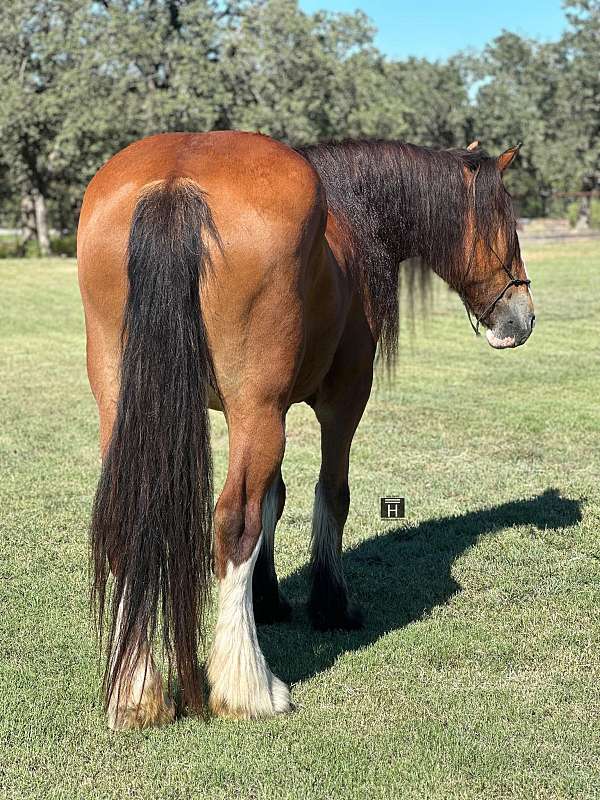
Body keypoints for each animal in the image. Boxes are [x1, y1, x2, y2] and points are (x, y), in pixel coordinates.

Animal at [78, 128, 536, 728]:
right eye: (508, 224)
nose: (522, 318)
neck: (349, 216)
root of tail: (175, 183)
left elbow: (275, 497)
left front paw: (269, 599)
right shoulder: (342, 401)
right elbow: (329, 496)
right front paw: (329, 603)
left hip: (127, 405)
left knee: (130, 513)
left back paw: (135, 692)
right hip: (258, 410)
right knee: (234, 523)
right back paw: (248, 688)